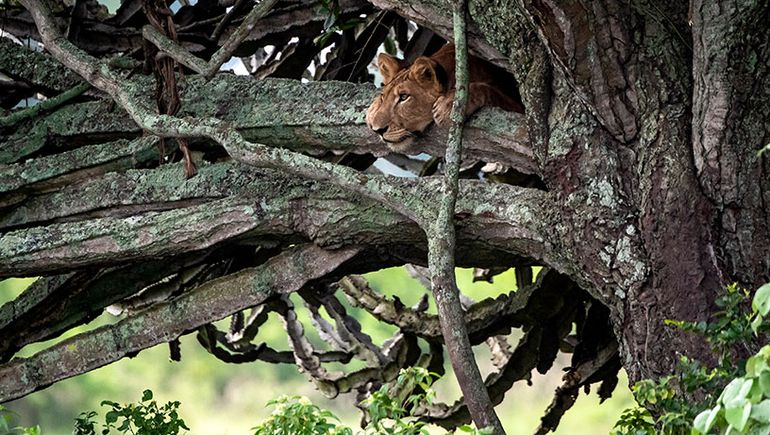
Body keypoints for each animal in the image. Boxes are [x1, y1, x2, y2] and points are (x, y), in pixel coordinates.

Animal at [364, 44, 520, 153]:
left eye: (404, 97)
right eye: (383, 97)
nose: (378, 130)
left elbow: (486, 89)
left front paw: (446, 108)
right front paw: (371, 111)